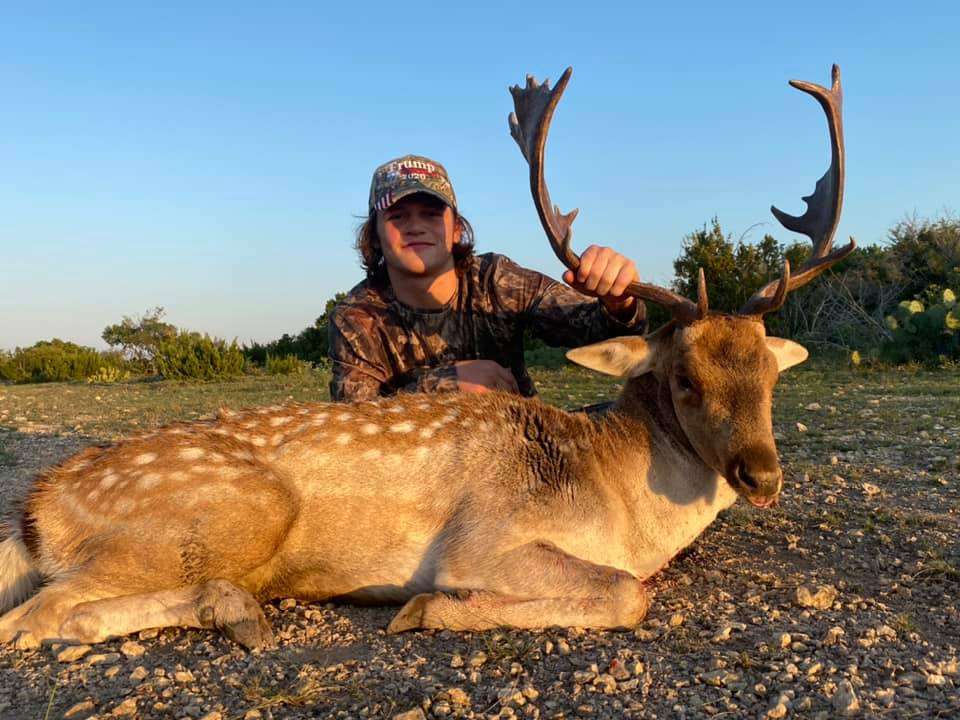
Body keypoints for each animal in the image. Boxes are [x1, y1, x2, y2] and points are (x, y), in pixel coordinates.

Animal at [0, 65, 854, 650]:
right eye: (683, 376)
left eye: (770, 375)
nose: (762, 475)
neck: (623, 507)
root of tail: (39, 507)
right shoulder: (486, 539)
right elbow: (625, 593)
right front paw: (430, 608)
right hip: (232, 511)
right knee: (37, 615)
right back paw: (237, 608)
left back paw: (232, 606)